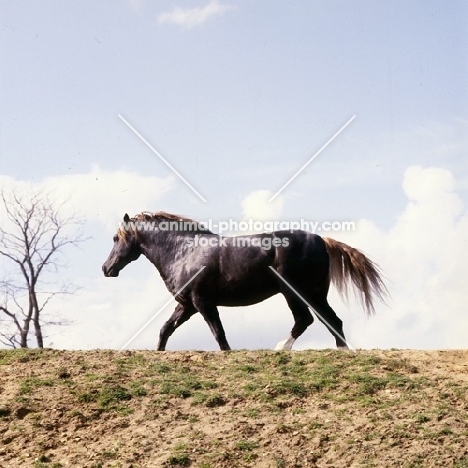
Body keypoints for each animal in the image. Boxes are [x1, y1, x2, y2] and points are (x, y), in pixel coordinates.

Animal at [102, 212, 388, 352]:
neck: (183, 251)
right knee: (331, 321)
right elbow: (165, 330)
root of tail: (321, 240)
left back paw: (281, 347)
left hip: (294, 292)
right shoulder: (187, 305)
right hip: (315, 293)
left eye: (116, 239)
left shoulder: (202, 302)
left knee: (306, 319)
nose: (106, 268)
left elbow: (219, 334)